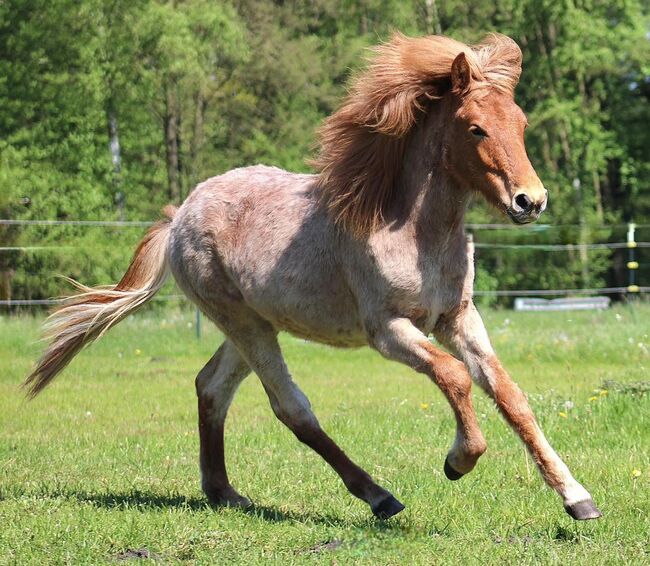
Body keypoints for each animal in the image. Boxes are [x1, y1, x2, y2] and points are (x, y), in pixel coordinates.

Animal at [25, 34, 604, 524]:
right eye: (476, 128)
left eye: (521, 124)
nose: (531, 201)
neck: (414, 232)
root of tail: (180, 214)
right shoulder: (389, 329)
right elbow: (454, 376)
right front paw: (458, 460)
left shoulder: (459, 318)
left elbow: (511, 397)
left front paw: (578, 499)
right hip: (247, 326)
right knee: (291, 408)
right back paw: (379, 497)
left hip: (251, 325)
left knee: (211, 387)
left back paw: (225, 493)